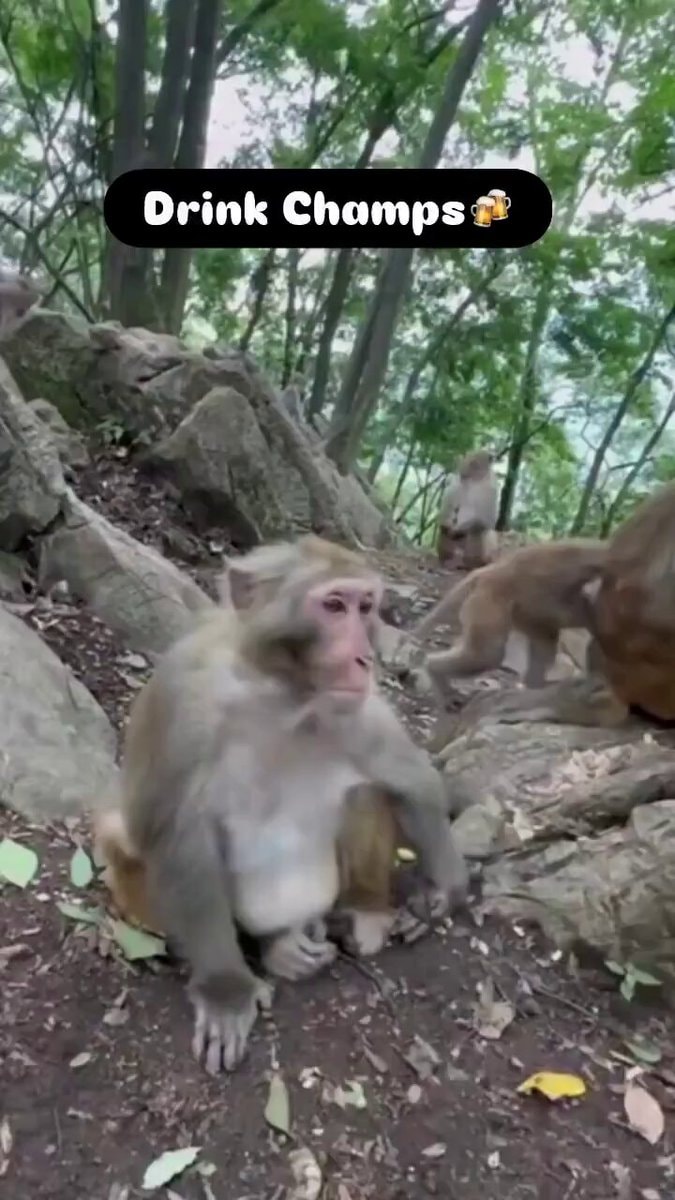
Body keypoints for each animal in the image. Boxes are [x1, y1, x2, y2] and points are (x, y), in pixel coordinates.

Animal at [94, 535, 468, 1074]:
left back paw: (361, 913)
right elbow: (178, 835)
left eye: (365, 607)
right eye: (333, 606)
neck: (280, 691)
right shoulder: (185, 697)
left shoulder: (355, 701)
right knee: (121, 837)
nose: (364, 658)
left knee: (365, 791)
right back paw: (274, 947)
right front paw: (225, 992)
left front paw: (443, 889)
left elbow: (409, 778)